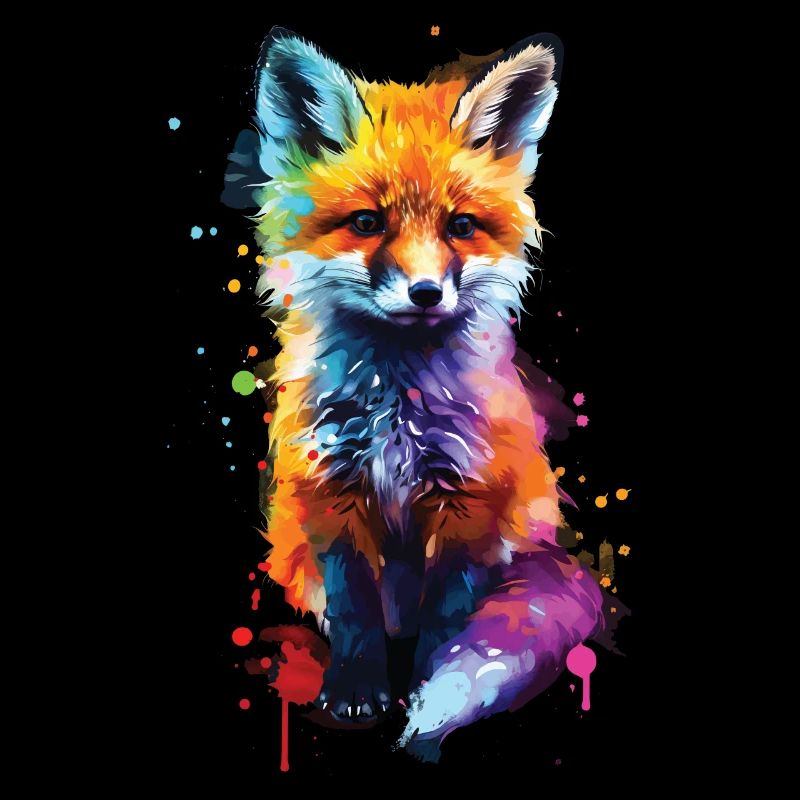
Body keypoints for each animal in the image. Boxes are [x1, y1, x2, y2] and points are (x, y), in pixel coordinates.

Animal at [224, 27, 607, 762]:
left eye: (460, 226)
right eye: (367, 222)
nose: (426, 293)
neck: (396, 407)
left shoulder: (467, 500)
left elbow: (447, 621)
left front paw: (424, 691)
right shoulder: (331, 492)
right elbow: (354, 610)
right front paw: (355, 691)